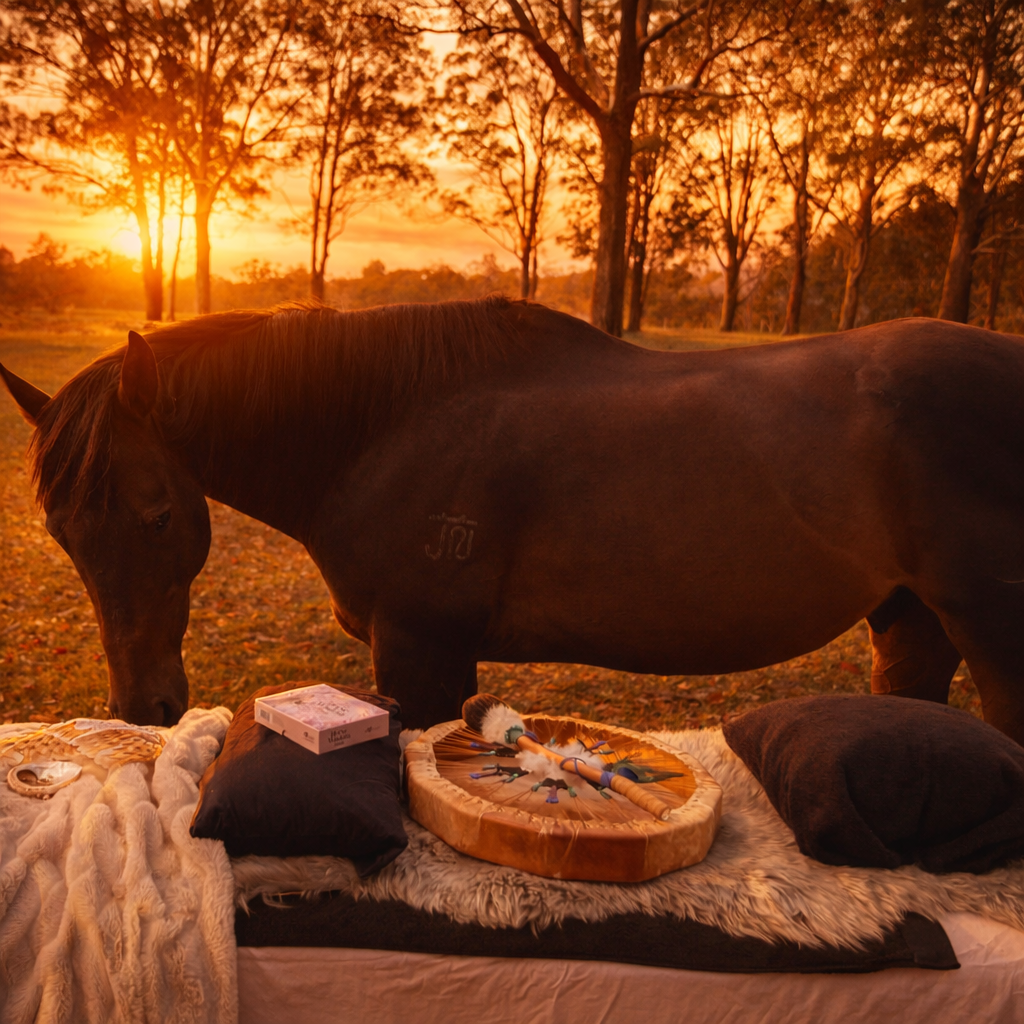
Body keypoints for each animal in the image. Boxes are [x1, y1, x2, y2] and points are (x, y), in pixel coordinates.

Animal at [2, 299, 1024, 738]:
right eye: (61, 535)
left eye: (157, 517)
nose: (144, 709)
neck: (386, 425)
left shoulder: (421, 654)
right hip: (911, 624)